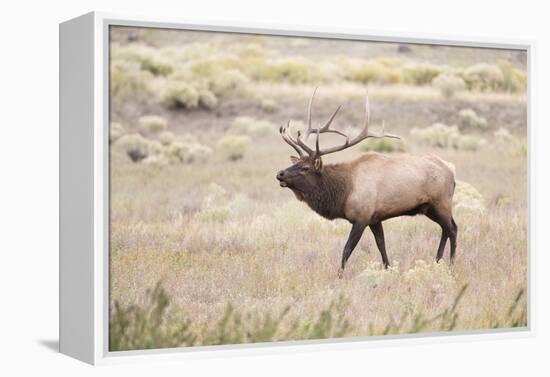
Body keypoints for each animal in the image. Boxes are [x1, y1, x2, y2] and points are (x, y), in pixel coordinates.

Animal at [278, 88, 460, 276]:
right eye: (295, 163)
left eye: (305, 168)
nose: (280, 174)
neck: (343, 193)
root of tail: (451, 171)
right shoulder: (375, 219)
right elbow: (381, 245)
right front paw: (388, 269)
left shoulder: (361, 217)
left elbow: (347, 249)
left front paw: (339, 275)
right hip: (429, 208)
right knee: (445, 229)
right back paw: (437, 260)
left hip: (441, 203)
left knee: (453, 229)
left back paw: (451, 264)